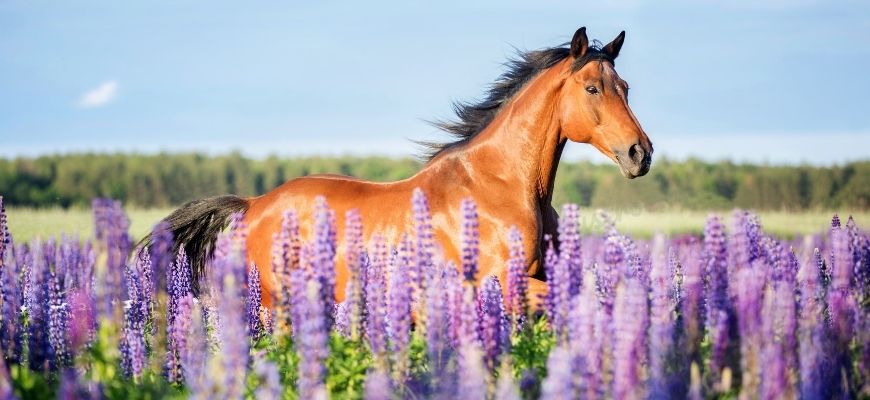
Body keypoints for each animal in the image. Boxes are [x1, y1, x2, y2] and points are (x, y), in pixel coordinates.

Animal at [155, 26, 656, 310]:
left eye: (626, 87)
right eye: (592, 88)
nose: (641, 153)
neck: (504, 186)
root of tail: (255, 204)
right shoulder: (501, 284)